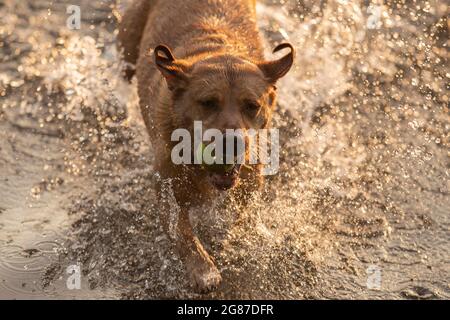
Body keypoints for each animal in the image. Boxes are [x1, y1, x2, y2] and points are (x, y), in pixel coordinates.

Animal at [118, 0, 294, 292]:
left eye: (252, 105)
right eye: (208, 102)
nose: (232, 143)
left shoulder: (250, 179)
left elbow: (244, 218)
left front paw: (236, 241)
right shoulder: (166, 188)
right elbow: (182, 233)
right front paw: (204, 270)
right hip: (127, 46)